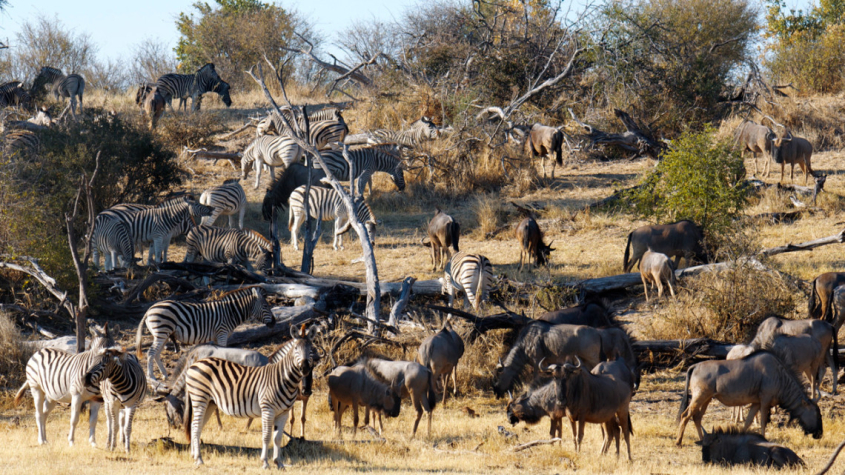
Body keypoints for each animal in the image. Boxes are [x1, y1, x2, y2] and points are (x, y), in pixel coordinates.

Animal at [135, 286, 276, 381]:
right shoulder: (222, 332)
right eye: (265, 306)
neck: (230, 312)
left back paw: (164, 375)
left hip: (162, 334)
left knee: (157, 354)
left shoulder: (216, 336)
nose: (274, 323)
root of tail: (149, 309)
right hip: (161, 332)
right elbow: (224, 352)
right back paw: (152, 377)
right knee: (151, 352)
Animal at [184, 325, 318, 468]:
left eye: (311, 349)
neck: (283, 378)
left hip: (210, 402)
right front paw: (265, 462)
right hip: (199, 398)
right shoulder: (267, 409)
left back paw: (194, 456)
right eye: (296, 348)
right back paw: (199, 459)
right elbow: (266, 436)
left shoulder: (284, 412)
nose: (304, 368)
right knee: (196, 426)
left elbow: (278, 438)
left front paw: (279, 463)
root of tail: (195, 363)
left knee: (194, 426)